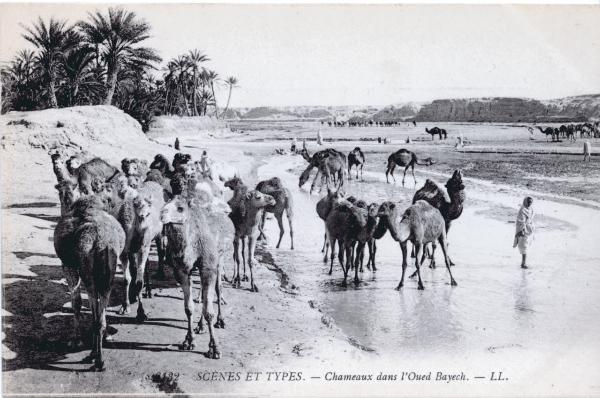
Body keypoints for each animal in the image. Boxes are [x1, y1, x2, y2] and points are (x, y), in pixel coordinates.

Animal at [54, 195, 125, 370]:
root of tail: (101, 243)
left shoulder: (68, 266)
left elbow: (76, 302)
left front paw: (75, 341)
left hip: (87, 273)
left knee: (94, 313)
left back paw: (96, 358)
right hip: (108, 274)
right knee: (99, 316)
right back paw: (97, 357)